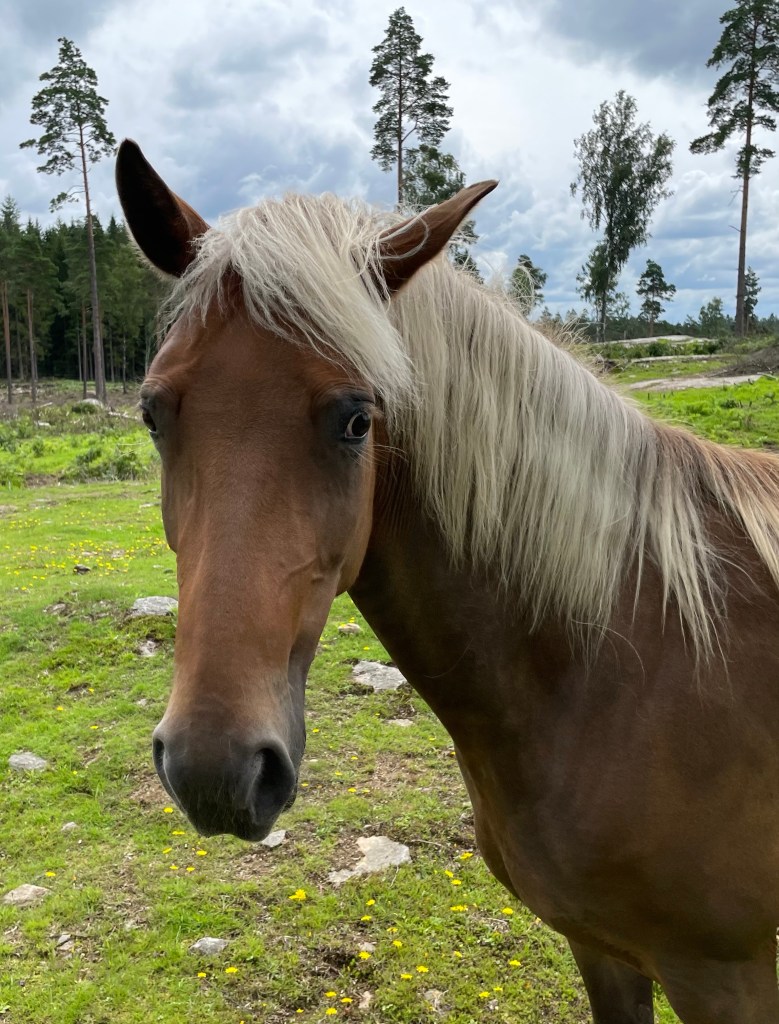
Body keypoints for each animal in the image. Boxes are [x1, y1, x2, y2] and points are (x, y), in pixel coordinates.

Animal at [116, 138, 779, 1024]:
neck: (623, 654)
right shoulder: (602, 951)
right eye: (153, 413)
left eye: (357, 419)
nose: (214, 771)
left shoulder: (725, 975)